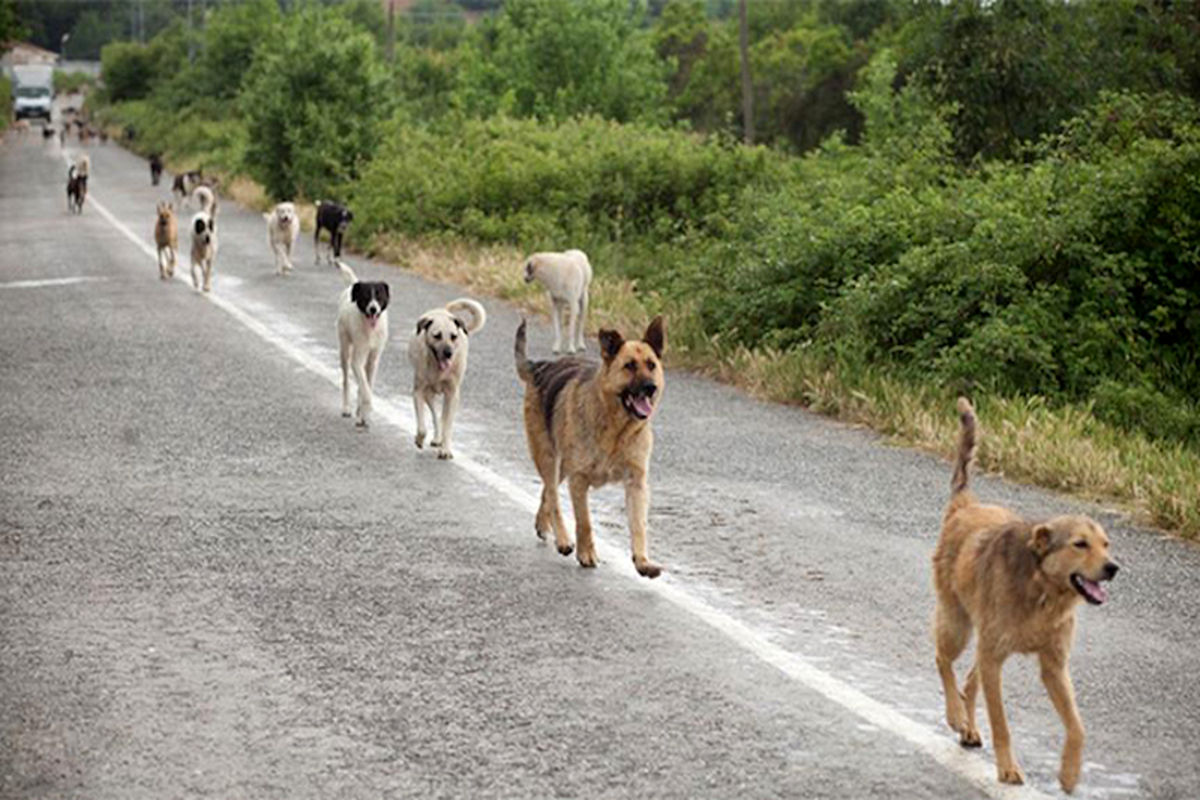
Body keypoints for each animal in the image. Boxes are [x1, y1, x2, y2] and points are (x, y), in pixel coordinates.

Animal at [336, 260, 391, 429]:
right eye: (366, 296)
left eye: (379, 295)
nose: (373, 309)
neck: (370, 329)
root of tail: (352, 285)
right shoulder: (357, 359)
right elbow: (365, 389)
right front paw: (366, 411)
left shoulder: (374, 359)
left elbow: (368, 384)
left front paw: (363, 414)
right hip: (345, 348)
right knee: (346, 380)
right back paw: (346, 408)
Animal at [408, 298, 487, 462]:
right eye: (437, 335)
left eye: (453, 336)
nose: (449, 353)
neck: (438, 370)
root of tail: (444, 311)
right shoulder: (418, 392)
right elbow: (422, 427)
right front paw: (419, 439)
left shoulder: (452, 394)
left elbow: (448, 425)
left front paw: (445, 449)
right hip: (428, 394)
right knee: (435, 416)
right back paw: (436, 438)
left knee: (443, 419)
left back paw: (440, 440)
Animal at [513, 316, 672, 578]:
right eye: (629, 366)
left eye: (651, 365)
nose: (650, 387)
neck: (616, 429)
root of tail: (541, 367)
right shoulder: (579, 480)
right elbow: (585, 522)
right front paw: (586, 554)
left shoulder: (636, 482)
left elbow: (639, 525)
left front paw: (642, 561)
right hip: (549, 458)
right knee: (553, 496)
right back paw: (563, 539)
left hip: (561, 467)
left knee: (547, 492)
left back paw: (542, 524)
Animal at [931, 400, 1118, 796]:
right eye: (1080, 544)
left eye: (1106, 544)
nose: (1113, 567)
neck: (1043, 592)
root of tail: (965, 504)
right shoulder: (995, 658)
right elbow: (1002, 724)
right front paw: (1007, 769)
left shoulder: (1054, 666)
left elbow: (1078, 726)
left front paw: (1070, 773)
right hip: (958, 625)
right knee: (944, 661)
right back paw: (955, 715)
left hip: (983, 642)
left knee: (969, 679)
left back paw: (969, 727)